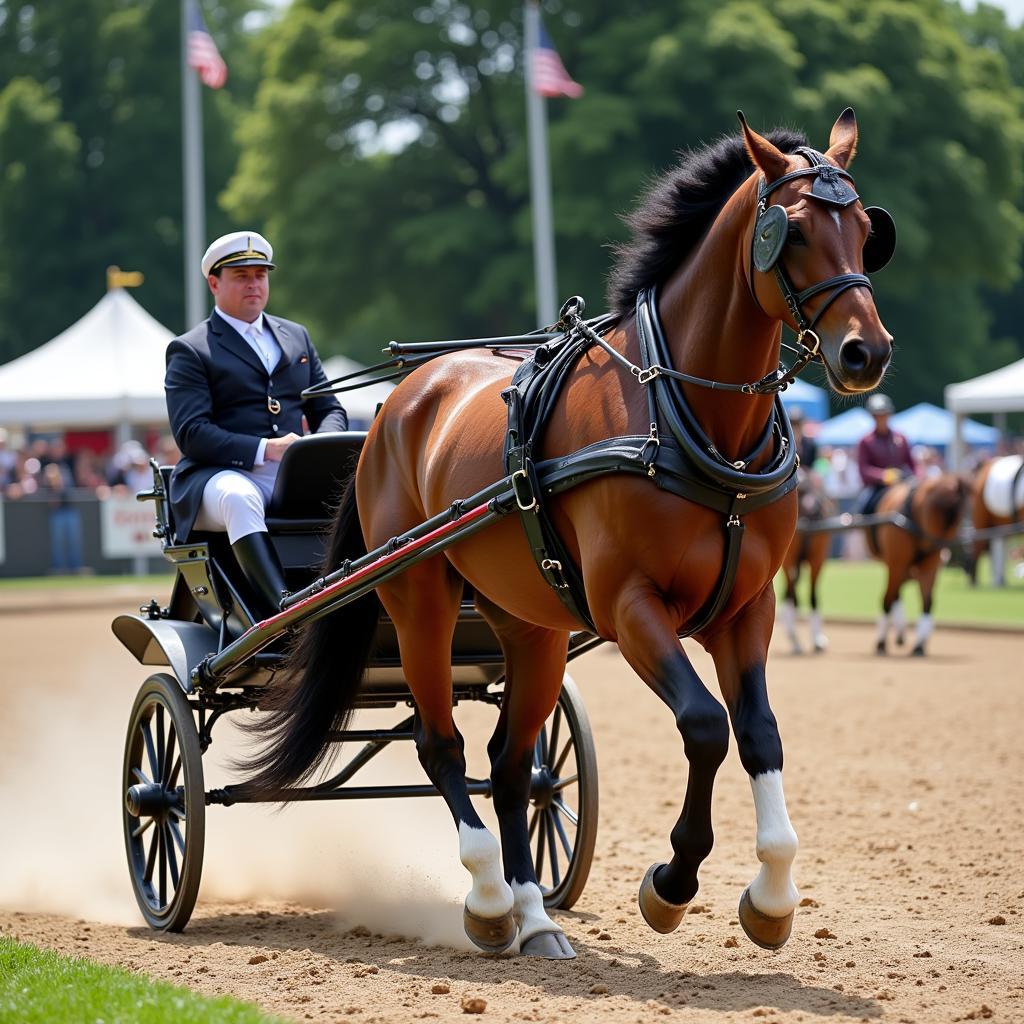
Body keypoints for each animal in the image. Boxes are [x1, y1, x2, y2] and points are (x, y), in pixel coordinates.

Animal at [778, 473, 835, 655]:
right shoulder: (788, 560)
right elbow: (794, 597)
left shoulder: (818, 559)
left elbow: (813, 596)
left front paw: (817, 639)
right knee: (791, 594)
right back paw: (793, 637)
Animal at [864, 473, 966, 655]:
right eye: (946, 512)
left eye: (958, 515)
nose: (946, 553)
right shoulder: (897, 564)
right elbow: (890, 598)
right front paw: (887, 640)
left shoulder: (924, 566)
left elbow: (924, 602)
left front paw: (917, 643)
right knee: (896, 595)